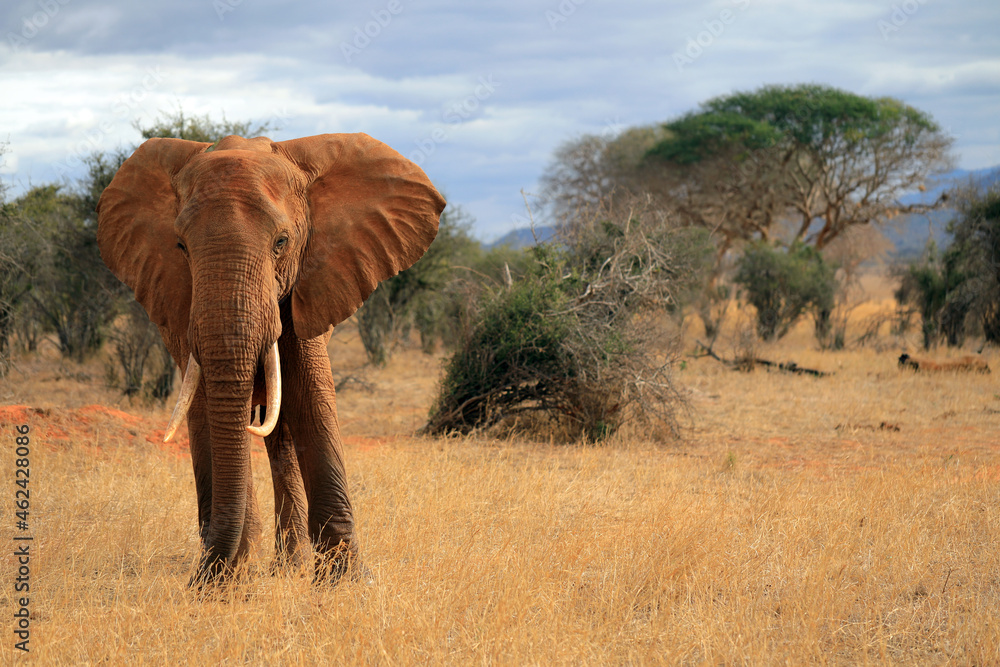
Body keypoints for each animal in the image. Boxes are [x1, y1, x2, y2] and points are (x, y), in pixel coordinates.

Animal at [96, 133, 445, 583]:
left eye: (282, 242)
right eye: (181, 247)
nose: (201, 578)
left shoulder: (309, 282)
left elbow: (311, 397)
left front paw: (345, 583)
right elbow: (207, 410)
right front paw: (225, 582)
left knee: (281, 430)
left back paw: (287, 567)